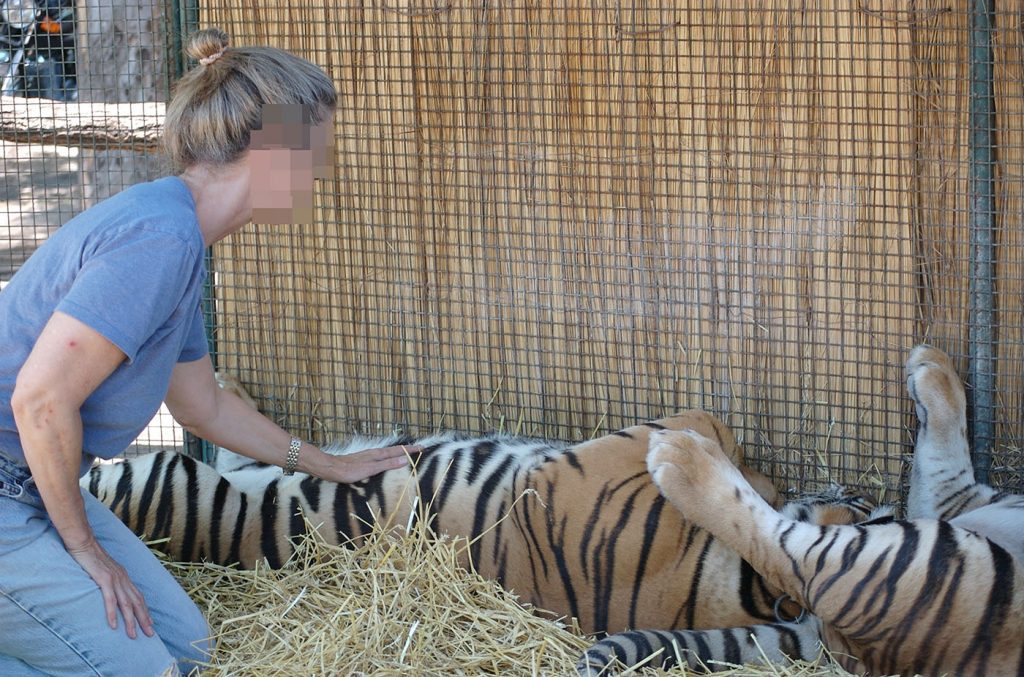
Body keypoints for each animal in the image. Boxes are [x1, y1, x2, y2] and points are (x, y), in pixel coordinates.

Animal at [81, 399, 872, 635]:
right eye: (870, 508)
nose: (861, 489)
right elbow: (713, 431)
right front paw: (753, 472)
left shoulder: (563, 476)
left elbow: (696, 428)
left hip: (163, 477)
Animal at [581, 346, 1019, 671]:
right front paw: (929, 363)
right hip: (963, 521)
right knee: (945, 475)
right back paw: (934, 366)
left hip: (918, 568)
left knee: (780, 548)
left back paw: (683, 457)